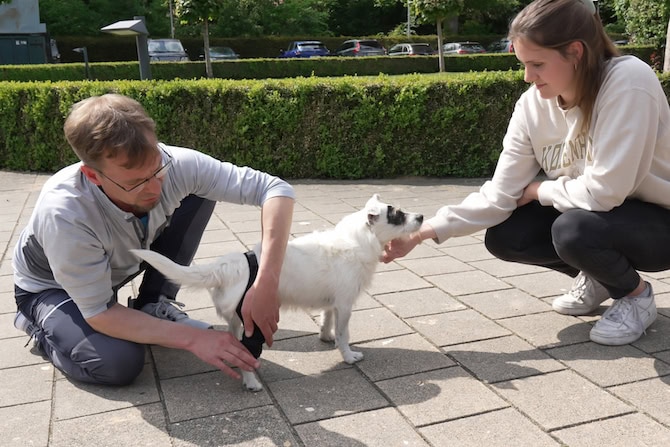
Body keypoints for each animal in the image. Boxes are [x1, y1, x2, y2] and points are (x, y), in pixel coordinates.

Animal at [133, 194, 426, 390]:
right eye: (398, 215)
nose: (422, 216)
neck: (356, 240)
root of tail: (229, 265)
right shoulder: (345, 305)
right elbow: (344, 334)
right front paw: (348, 356)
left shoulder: (332, 304)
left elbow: (327, 321)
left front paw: (326, 337)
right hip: (253, 323)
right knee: (245, 352)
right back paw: (251, 382)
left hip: (236, 321)